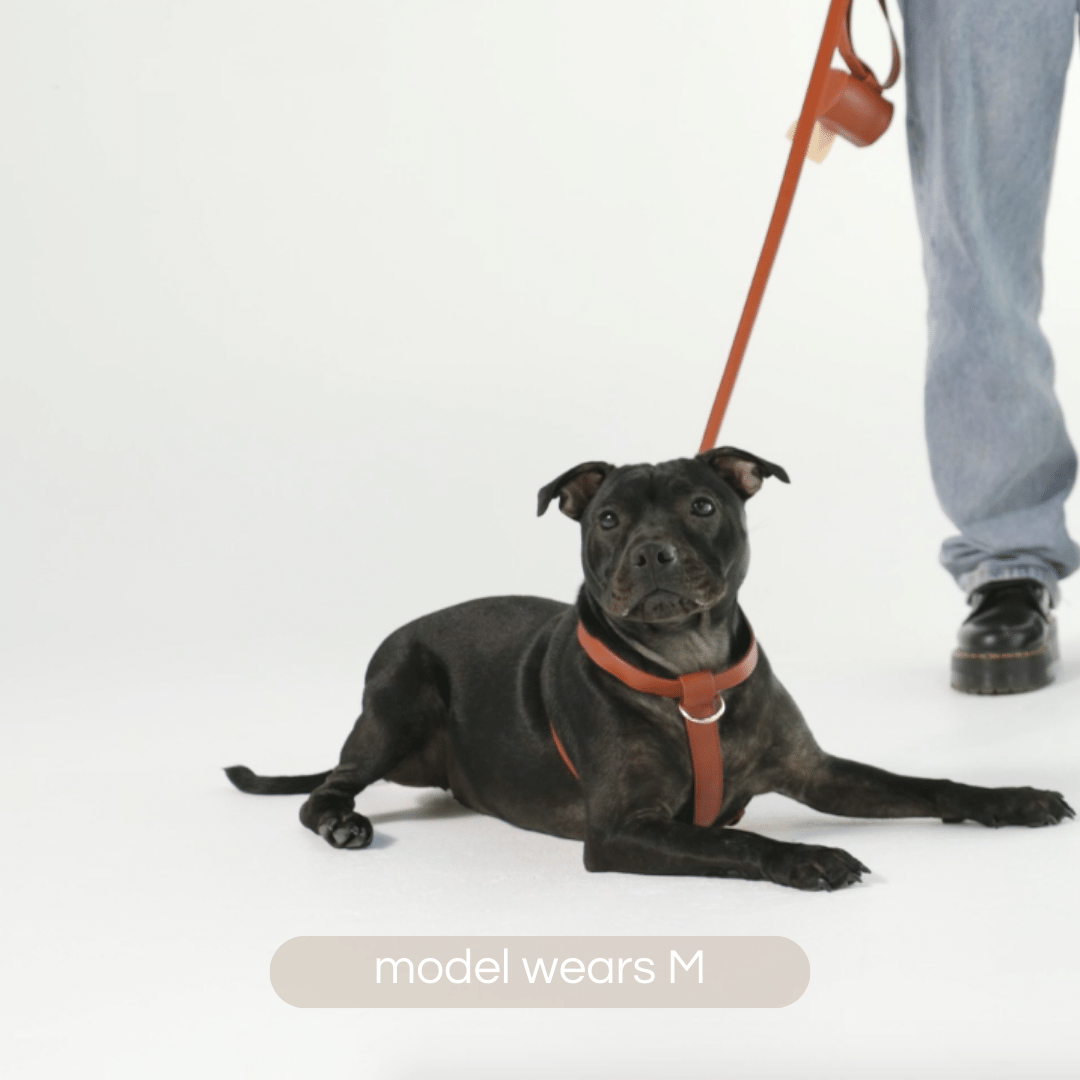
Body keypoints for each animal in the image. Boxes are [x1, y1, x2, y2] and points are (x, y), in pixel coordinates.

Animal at [227, 444, 1071, 885]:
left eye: (702, 506)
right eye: (606, 518)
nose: (651, 551)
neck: (688, 670)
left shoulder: (818, 771)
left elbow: (931, 785)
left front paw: (1017, 799)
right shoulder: (622, 830)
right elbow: (734, 842)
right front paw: (807, 856)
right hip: (399, 699)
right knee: (328, 788)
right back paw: (343, 823)